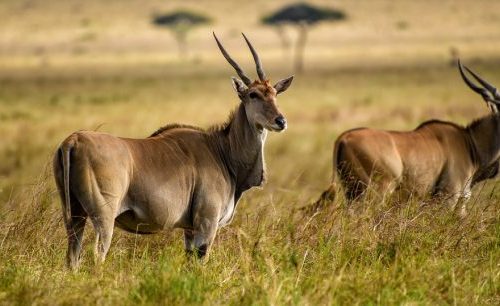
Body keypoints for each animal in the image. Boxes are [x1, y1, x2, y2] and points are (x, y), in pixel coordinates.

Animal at [54, 32, 294, 268]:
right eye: (253, 94)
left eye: (275, 93)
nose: (281, 121)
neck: (223, 151)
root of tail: (73, 140)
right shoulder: (206, 224)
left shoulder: (189, 230)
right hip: (103, 217)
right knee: (97, 255)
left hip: (75, 216)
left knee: (72, 257)